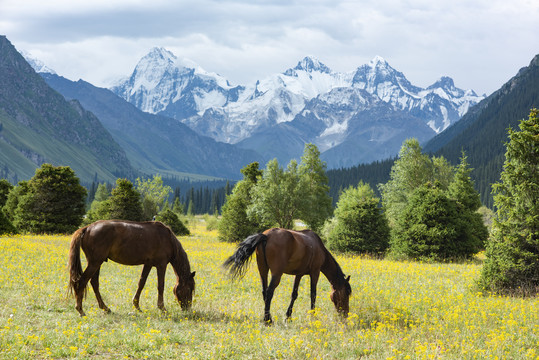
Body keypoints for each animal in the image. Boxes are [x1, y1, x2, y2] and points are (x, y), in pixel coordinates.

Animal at [66, 218, 195, 316]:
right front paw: (162, 308)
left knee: (94, 283)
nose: (187, 309)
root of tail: (87, 228)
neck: (167, 239)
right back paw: (80, 310)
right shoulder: (161, 265)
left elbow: (141, 283)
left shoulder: (148, 264)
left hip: (96, 263)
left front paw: (137, 306)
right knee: (82, 282)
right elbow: (161, 286)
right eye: (190, 289)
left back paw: (105, 308)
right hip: (95, 262)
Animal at [223, 229, 352, 324]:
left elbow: (294, 294)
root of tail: (266, 236)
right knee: (269, 292)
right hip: (277, 274)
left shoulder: (299, 274)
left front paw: (288, 317)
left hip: (263, 270)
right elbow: (313, 295)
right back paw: (268, 320)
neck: (318, 247)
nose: (345, 314)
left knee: (264, 292)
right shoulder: (315, 273)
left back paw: (268, 317)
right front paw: (313, 316)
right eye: (346, 294)